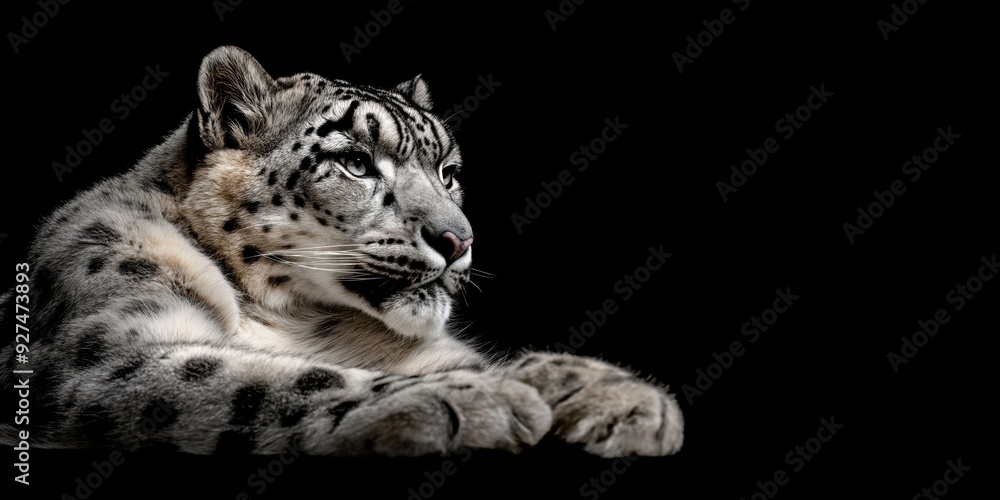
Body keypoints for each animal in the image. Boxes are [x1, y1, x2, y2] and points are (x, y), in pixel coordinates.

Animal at [0, 46, 683, 458]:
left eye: (449, 172)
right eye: (355, 162)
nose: (458, 239)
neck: (295, 316)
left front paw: (628, 398)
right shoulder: (106, 357)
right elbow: (267, 378)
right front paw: (474, 400)